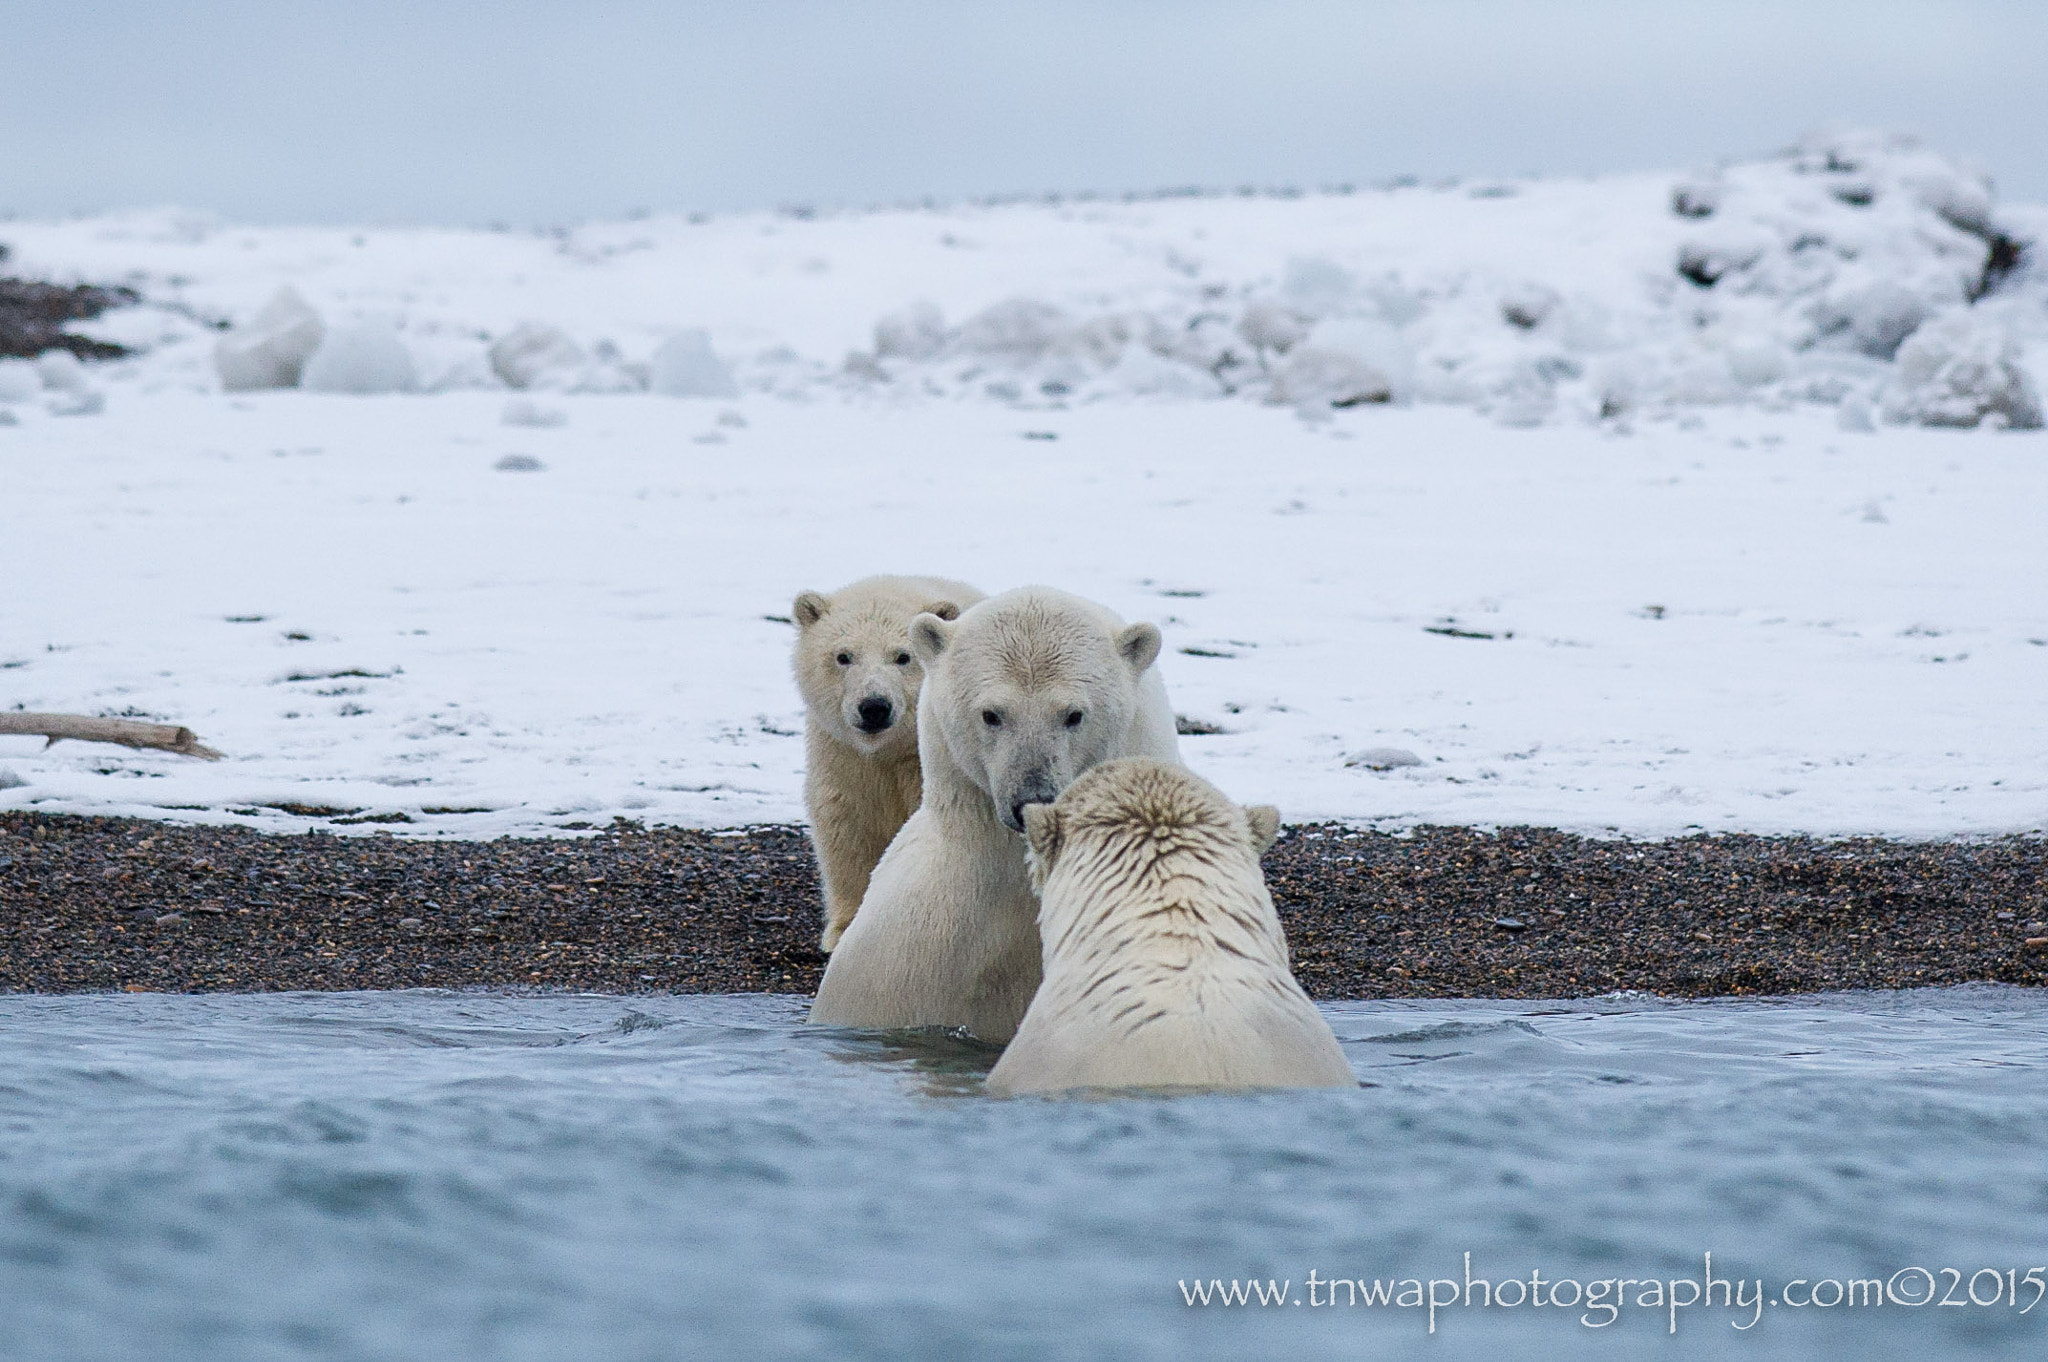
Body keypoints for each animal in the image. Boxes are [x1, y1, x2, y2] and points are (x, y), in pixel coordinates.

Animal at [790, 569, 983, 946]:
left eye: (903, 656)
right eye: (844, 656)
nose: (874, 707)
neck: (889, 750)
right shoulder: (843, 756)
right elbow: (847, 824)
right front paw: (844, 928)